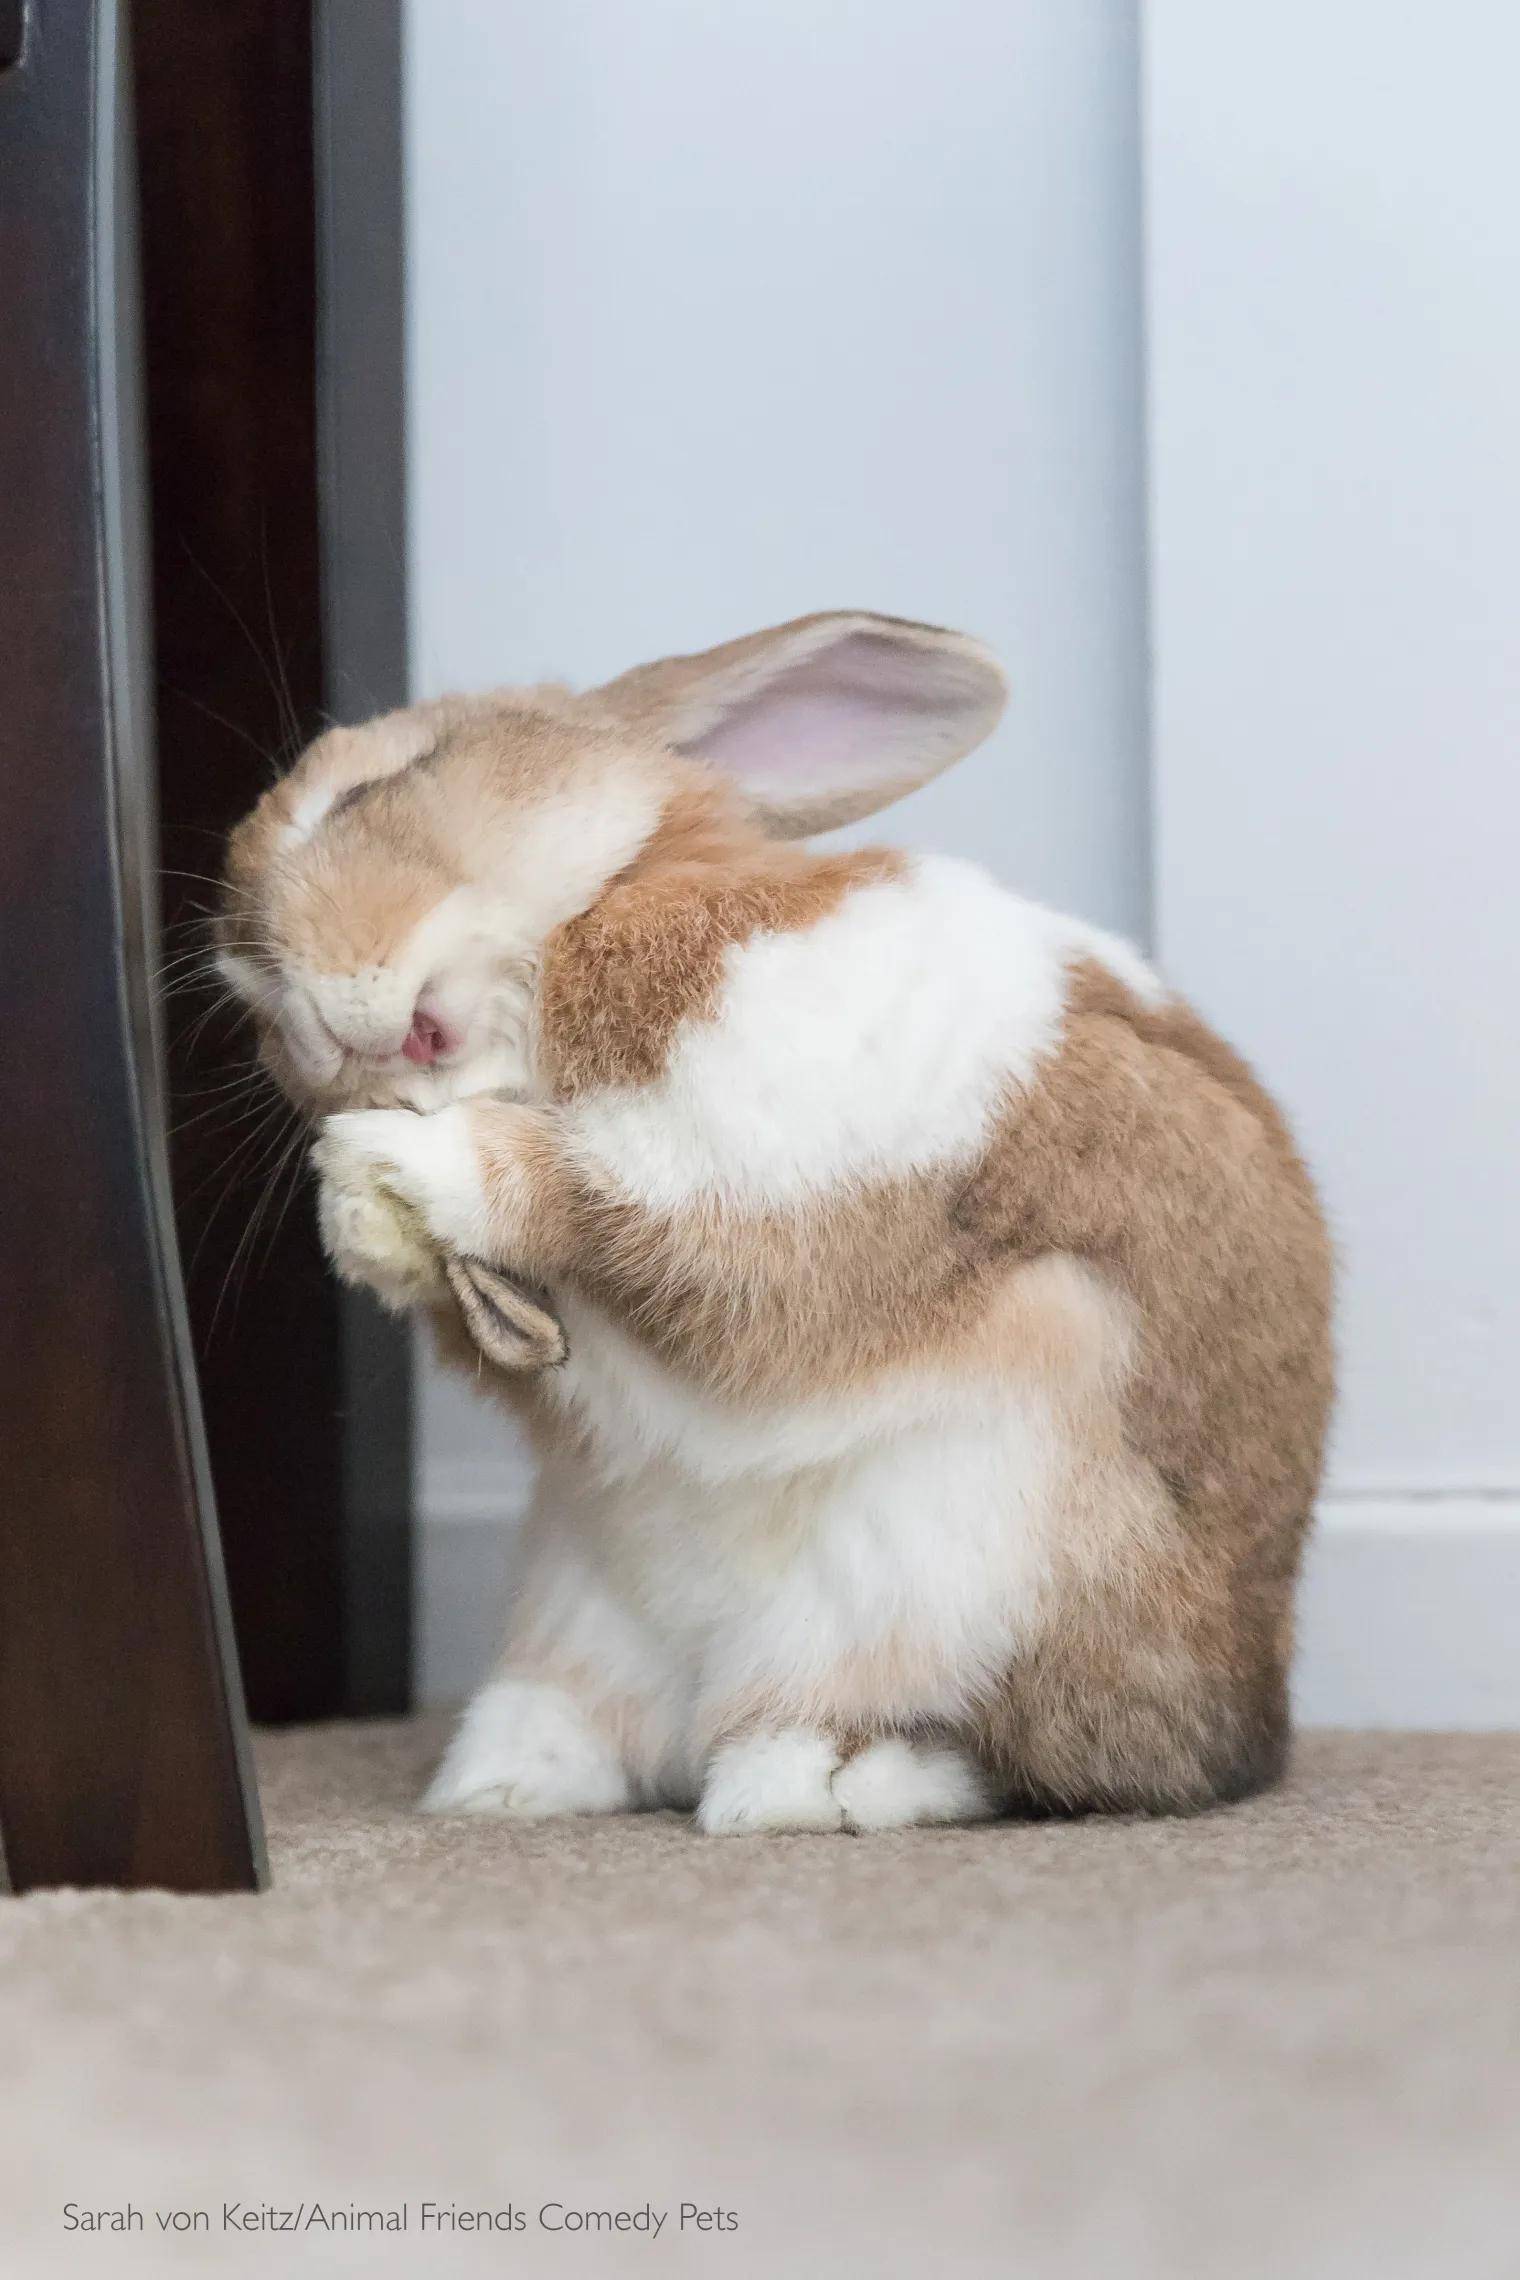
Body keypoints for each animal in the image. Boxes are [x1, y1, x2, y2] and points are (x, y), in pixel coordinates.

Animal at [214, 611, 1330, 1833]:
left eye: (380, 784)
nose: (292, 1019)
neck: (583, 926)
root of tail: (1248, 1713)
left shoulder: (766, 1164)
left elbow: (617, 1209)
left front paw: (391, 1161)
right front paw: (360, 1210)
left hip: (966, 1579)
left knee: (1017, 1755)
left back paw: (813, 1782)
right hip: (583, 1605)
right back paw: (507, 1784)